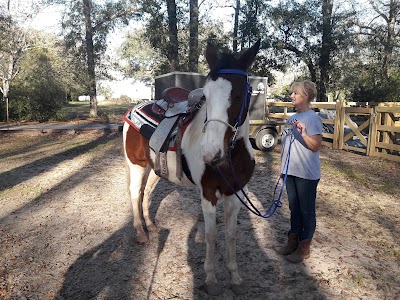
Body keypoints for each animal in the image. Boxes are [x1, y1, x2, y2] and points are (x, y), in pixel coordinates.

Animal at [123, 38, 260, 294]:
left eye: (239, 94)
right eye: (206, 94)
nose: (210, 153)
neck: (231, 155)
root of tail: (133, 109)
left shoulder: (235, 192)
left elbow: (231, 234)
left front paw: (235, 277)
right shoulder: (208, 193)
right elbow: (211, 235)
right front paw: (211, 279)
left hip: (155, 169)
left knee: (146, 192)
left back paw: (151, 227)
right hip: (136, 166)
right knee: (135, 194)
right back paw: (140, 233)